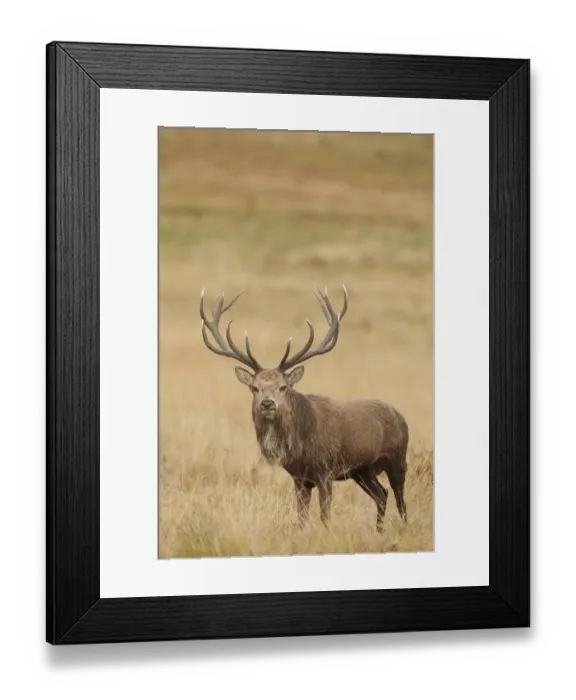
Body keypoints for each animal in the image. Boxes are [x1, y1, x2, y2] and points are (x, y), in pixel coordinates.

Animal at [199, 285, 409, 532]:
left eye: (283, 386)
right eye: (254, 387)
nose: (267, 403)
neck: (301, 446)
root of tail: (400, 416)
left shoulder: (326, 470)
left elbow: (325, 516)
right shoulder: (299, 478)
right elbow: (301, 518)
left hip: (398, 458)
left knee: (400, 499)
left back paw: (403, 527)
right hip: (363, 470)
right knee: (381, 495)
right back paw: (378, 531)